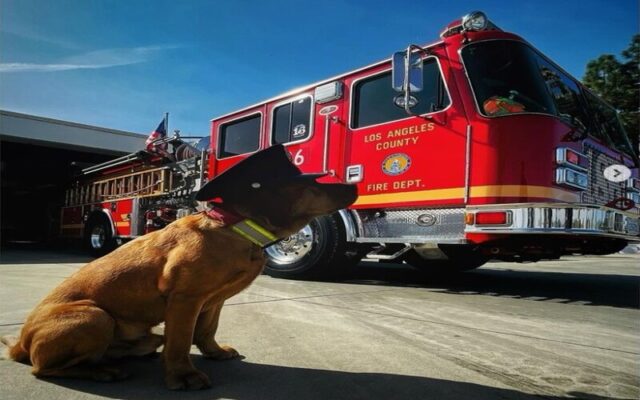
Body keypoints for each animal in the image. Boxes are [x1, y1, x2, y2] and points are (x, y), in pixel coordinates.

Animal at [2, 145, 358, 390]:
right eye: (312, 184)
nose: (354, 184)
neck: (234, 227)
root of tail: (20, 343)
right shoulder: (186, 299)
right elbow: (181, 341)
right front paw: (183, 375)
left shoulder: (213, 300)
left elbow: (206, 330)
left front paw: (214, 351)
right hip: (95, 316)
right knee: (41, 368)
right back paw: (101, 371)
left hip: (135, 332)